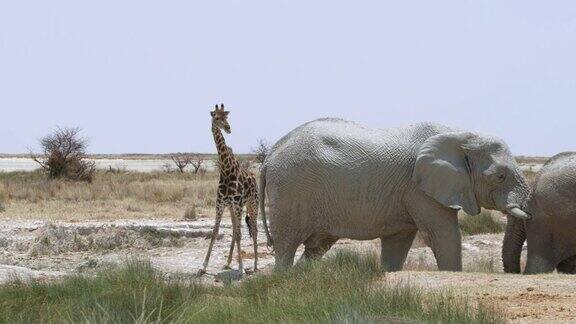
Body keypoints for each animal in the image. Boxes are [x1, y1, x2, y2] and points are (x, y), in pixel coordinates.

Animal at [199, 104, 260, 276]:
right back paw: (227, 262)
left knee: (254, 229)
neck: (226, 170)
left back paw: (255, 265)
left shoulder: (238, 205)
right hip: (232, 208)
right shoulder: (220, 204)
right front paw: (203, 266)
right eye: (216, 117)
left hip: (252, 204)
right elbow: (214, 232)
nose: (228, 128)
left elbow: (240, 234)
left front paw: (241, 269)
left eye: (226, 117)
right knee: (234, 229)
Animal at [258, 119, 528, 270]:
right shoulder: (419, 189)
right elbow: (444, 235)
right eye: (500, 176)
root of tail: (269, 157)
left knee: (316, 248)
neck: (462, 135)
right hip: (290, 191)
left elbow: (398, 243)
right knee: (286, 245)